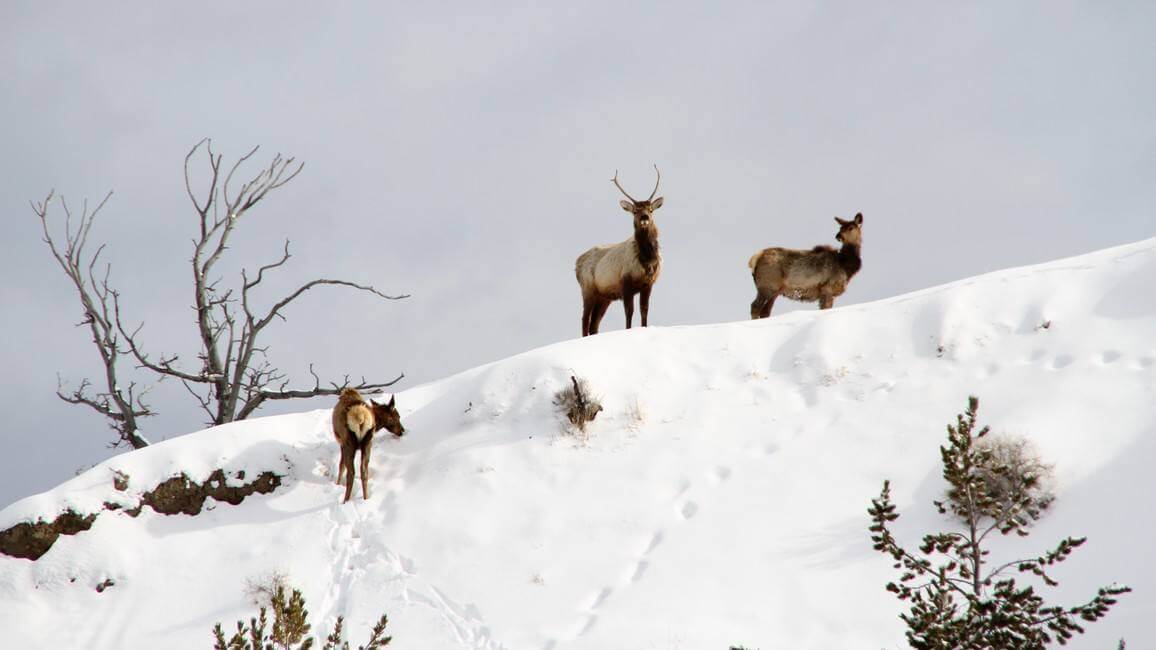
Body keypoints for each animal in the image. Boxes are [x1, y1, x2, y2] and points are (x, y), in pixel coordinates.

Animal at [573, 164, 665, 335]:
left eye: (650, 209)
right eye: (635, 211)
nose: (644, 217)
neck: (647, 260)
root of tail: (576, 264)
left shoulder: (648, 283)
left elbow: (644, 310)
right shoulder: (625, 282)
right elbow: (629, 311)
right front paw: (628, 330)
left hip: (604, 297)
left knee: (594, 323)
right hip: (587, 289)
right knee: (584, 319)